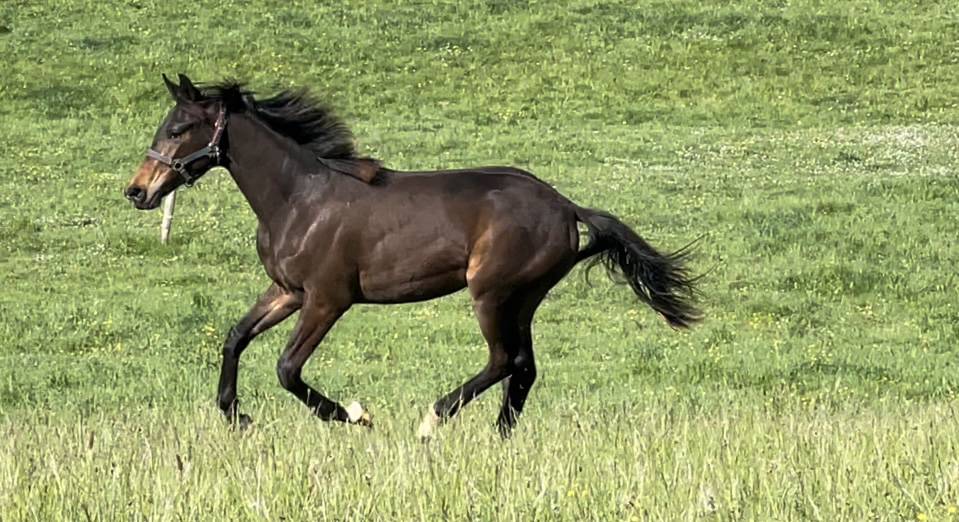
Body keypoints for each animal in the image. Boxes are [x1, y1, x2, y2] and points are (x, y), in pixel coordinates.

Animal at [124, 73, 701, 439]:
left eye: (178, 130)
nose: (138, 191)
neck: (300, 199)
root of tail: (565, 206)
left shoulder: (327, 299)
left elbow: (287, 369)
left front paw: (355, 416)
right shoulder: (288, 291)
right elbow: (235, 337)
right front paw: (237, 418)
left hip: (492, 293)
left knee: (502, 360)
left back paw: (432, 421)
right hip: (524, 298)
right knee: (524, 367)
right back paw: (501, 436)